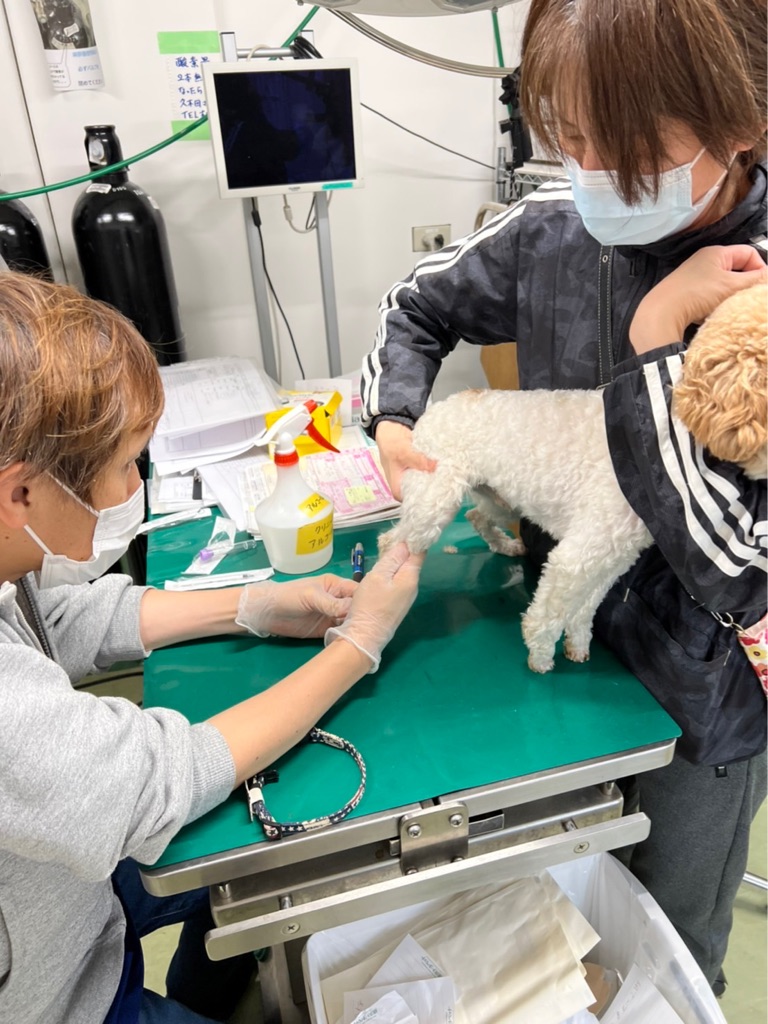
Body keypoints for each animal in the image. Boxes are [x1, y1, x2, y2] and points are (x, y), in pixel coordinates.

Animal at [379, 283, 767, 673]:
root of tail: (440, 406)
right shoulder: (576, 557)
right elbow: (548, 614)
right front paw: (540, 654)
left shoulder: (614, 557)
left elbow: (585, 608)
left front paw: (577, 643)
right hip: (433, 501)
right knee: (391, 540)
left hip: (501, 500)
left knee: (476, 515)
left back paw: (505, 545)